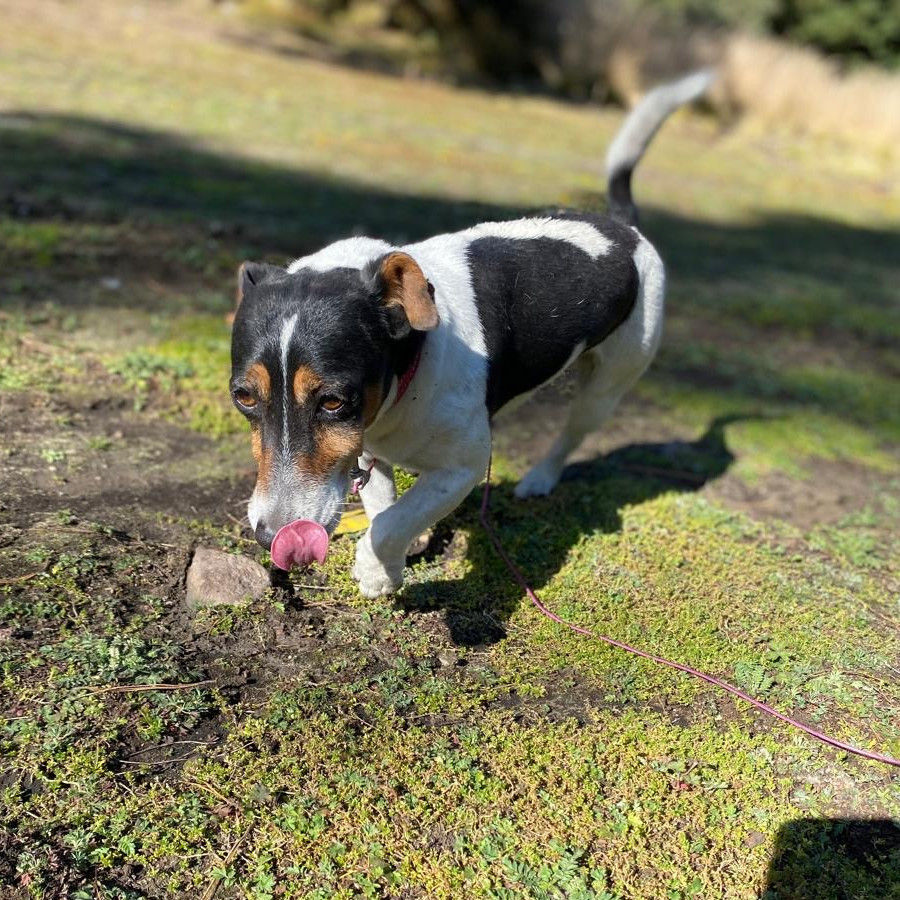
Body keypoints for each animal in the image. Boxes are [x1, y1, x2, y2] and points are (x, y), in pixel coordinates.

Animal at [230, 72, 712, 596]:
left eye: (335, 401)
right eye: (244, 397)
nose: (271, 536)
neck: (412, 368)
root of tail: (623, 227)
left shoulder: (463, 466)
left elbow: (392, 521)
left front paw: (374, 566)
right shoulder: (368, 451)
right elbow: (384, 509)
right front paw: (387, 570)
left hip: (608, 386)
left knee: (571, 433)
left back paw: (540, 478)